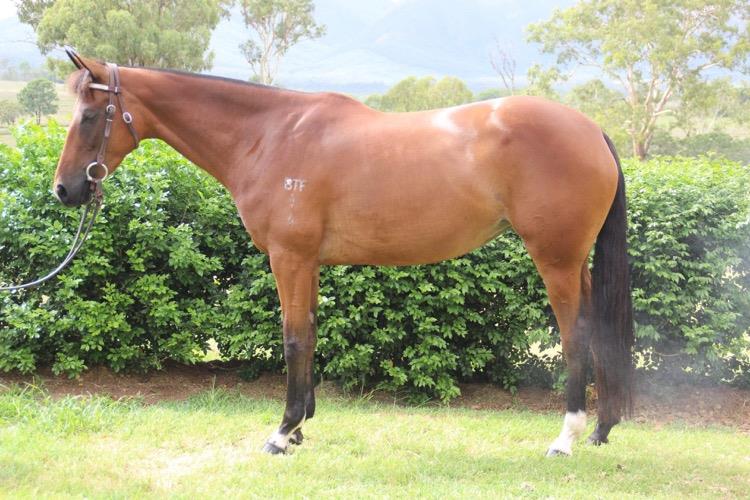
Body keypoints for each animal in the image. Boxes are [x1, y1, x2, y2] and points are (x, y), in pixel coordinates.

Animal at [54, 49, 633, 457]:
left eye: (90, 116)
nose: (64, 190)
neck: (269, 136)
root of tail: (592, 129)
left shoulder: (288, 258)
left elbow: (291, 339)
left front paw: (281, 432)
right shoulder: (308, 263)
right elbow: (309, 333)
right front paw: (300, 429)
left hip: (556, 260)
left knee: (576, 334)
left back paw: (566, 437)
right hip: (576, 263)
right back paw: (602, 430)